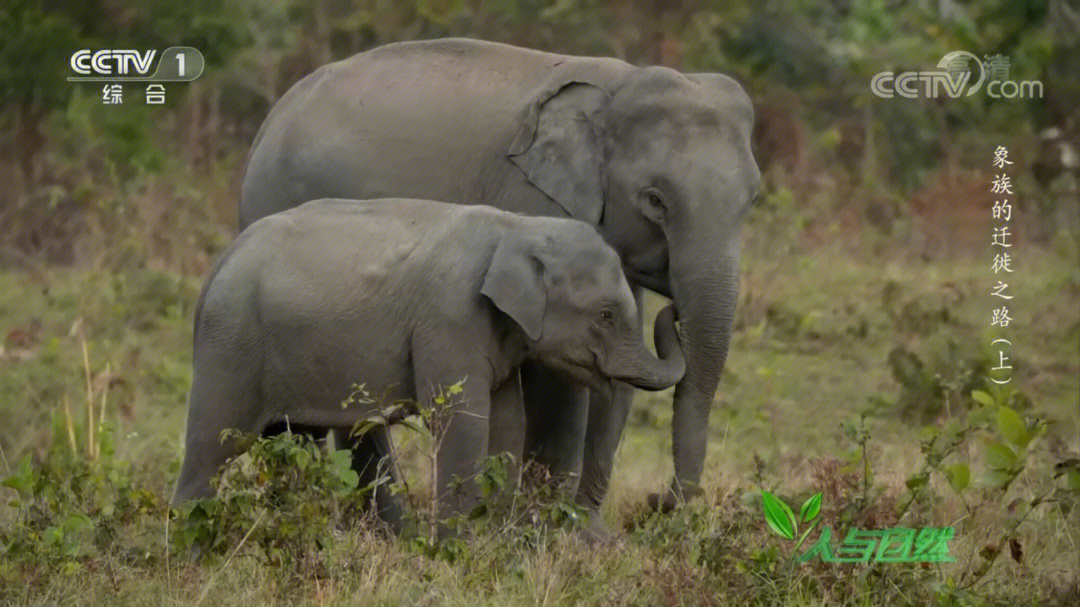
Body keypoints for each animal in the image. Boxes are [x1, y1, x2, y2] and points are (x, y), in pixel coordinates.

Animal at [174, 196, 682, 522]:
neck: (517, 227)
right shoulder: (450, 318)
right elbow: (463, 421)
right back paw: (190, 551)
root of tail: (221, 261)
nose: (674, 311)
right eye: (606, 315)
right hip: (230, 346)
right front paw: (461, 550)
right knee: (210, 447)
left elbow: (506, 423)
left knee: (292, 445)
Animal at [238, 36, 760, 520]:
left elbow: (615, 382)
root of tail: (268, 123)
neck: (619, 84)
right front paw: (545, 529)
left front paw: (586, 537)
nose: (658, 500)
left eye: (753, 198)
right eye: (654, 199)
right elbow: (558, 373)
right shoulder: (535, 201)